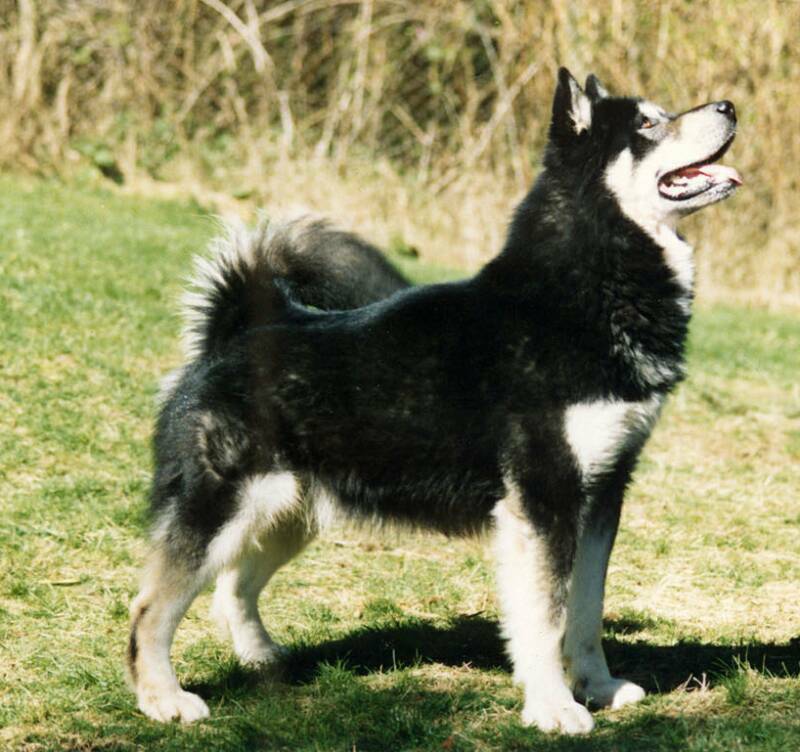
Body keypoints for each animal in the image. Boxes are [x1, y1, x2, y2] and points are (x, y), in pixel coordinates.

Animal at [128, 69, 740, 736]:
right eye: (649, 123)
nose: (730, 106)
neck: (585, 291)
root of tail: (238, 329)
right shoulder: (544, 499)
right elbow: (545, 618)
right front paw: (554, 707)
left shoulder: (602, 493)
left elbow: (586, 612)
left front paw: (597, 687)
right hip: (224, 508)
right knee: (148, 609)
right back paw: (163, 698)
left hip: (289, 511)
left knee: (232, 587)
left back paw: (263, 660)